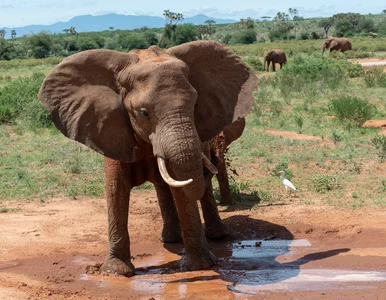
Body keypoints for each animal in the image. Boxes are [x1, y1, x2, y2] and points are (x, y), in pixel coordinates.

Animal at [38, 41, 256, 278]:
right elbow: (116, 187)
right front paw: (116, 272)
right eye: (143, 113)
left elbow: (182, 185)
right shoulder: (110, 127)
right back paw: (171, 239)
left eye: (195, 105)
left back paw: (215, 236)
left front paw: (202, 266)